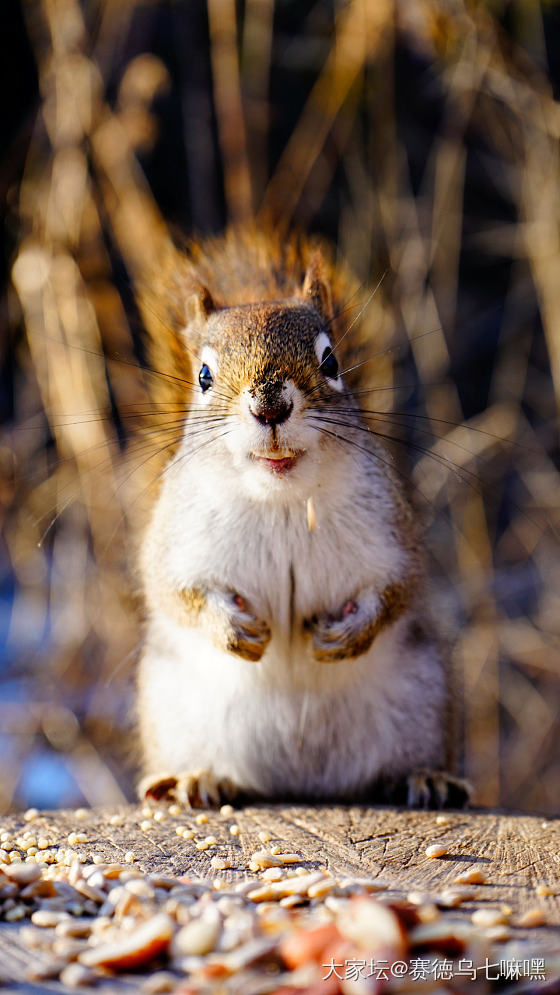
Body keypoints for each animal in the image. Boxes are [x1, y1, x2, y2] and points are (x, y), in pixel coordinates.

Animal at [136, 226, 468, 808]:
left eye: (331, 362)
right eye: (203, 376)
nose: (270, 407)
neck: (284, 502)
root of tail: (302, 784)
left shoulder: (391, 537)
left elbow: (397, 589)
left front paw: (348, 634)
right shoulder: (175, 544)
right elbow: (175, 592)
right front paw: (233, 629)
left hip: (425, 697)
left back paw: (426, 777)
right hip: (173, 709)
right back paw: (196, 778)